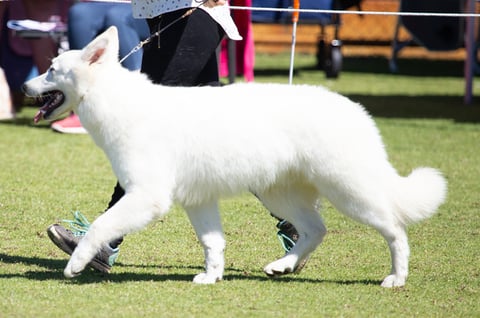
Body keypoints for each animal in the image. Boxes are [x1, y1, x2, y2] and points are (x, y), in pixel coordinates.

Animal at [22, 26, 448, 286]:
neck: (117, 102)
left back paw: (396, 278)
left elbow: (101, 225)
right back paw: (284, 265)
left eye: (51, 69)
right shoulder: (198, 200)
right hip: (282, 193)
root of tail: (356, 111)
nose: (26, 86)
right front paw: (212, 277)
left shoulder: (147, 196)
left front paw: (76, 262)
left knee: (394, 230)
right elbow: (213, 243)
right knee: (315, 230)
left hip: (349, 192)